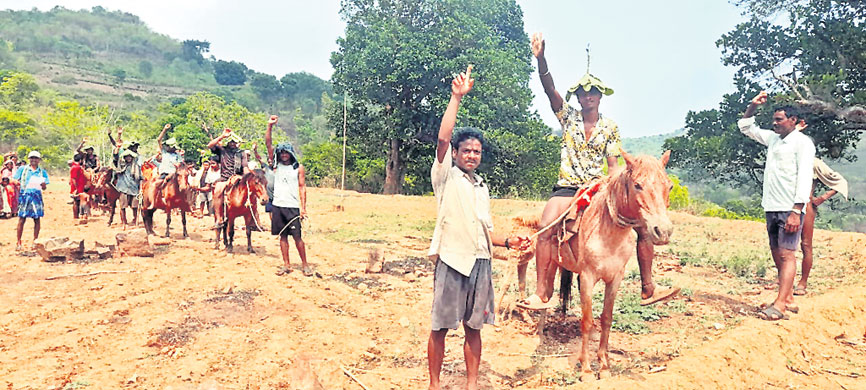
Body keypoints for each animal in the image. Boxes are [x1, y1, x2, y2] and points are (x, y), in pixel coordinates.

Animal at [552, 151, 676, 382]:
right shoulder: (588, 277)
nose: (663, 231)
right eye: (637, 185)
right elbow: (587, 320)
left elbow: (606, 318)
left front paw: (604, 366)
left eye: (669, 186)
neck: (607, 232)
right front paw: (586, 369)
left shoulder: (615, 278)